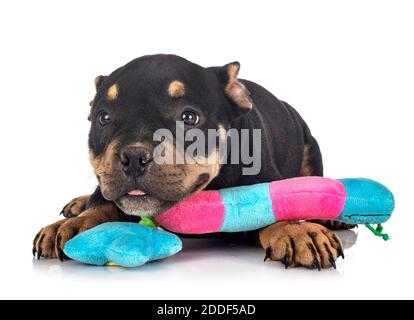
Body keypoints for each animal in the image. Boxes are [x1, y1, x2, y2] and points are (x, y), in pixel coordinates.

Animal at [34, 53, 348, 268]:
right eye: (103, 118)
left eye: (189, 117)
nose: (134, 156)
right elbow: (103, 202)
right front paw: (76, 223)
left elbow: (275, 202)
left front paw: (294, 229)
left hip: (310, 146)